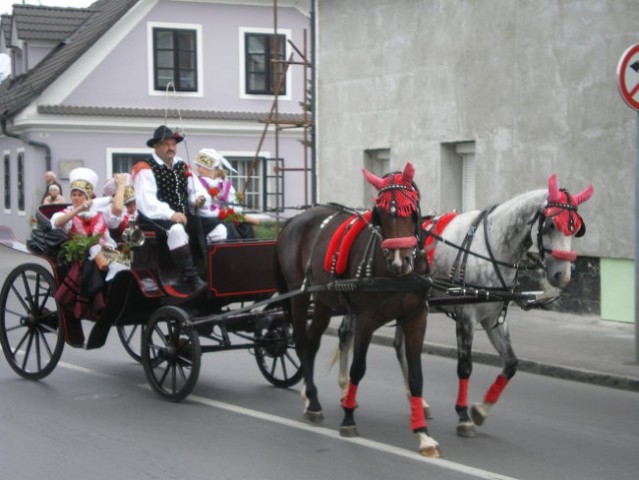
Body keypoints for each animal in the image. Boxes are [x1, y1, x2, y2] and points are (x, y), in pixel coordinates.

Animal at [276, 163, 440, 456]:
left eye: (411, 209)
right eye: (380, 214)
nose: (400, 261)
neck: (395, 275)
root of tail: (296, 219)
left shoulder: (416, 318)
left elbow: (416, 376)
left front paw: (423, 434)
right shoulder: (365, 320)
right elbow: (357, 368)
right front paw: (348, 419)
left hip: (323, 301)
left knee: (312, 342)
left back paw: (309, 394)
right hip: (298, 295)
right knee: (303, 342)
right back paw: (313, 402)